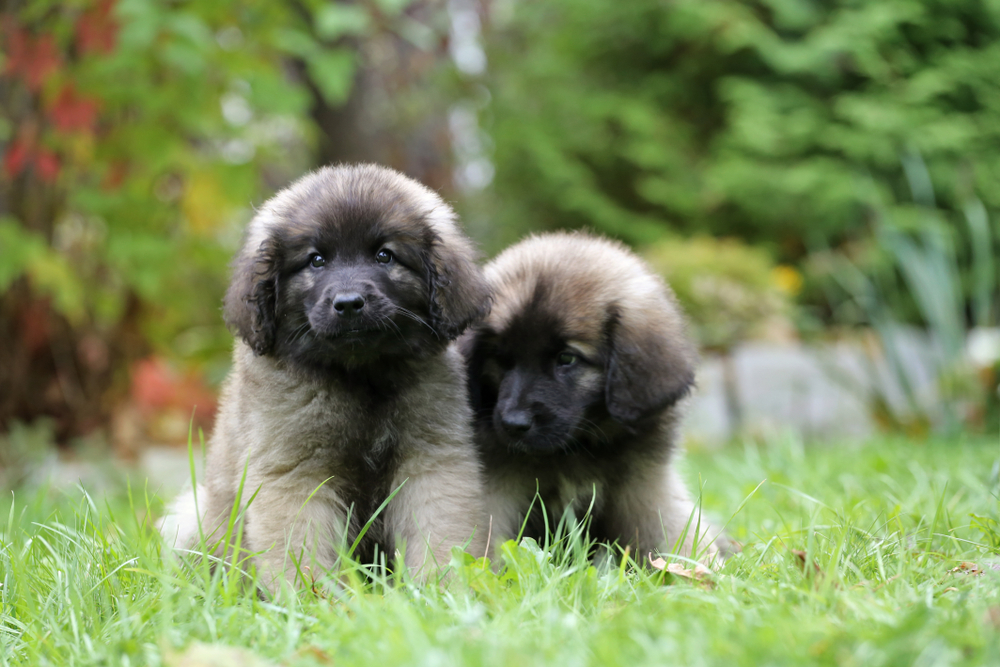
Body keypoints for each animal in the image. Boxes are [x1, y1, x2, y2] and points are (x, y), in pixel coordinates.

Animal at [158, 164, 494, 592]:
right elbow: (299, 552)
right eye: (316, 260)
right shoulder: (296, 474)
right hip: (191, 517)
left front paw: (440, 591)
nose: (348, 304)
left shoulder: (432, 463)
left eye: (384, 255)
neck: (362, 376)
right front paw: (311, 600)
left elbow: (440, 536)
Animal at [460, 230, 728, 564]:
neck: (576, 448)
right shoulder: (499, 487)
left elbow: (673, 530)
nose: (513, 424)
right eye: (500, 359)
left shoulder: (644, 484)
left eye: (567, 358)